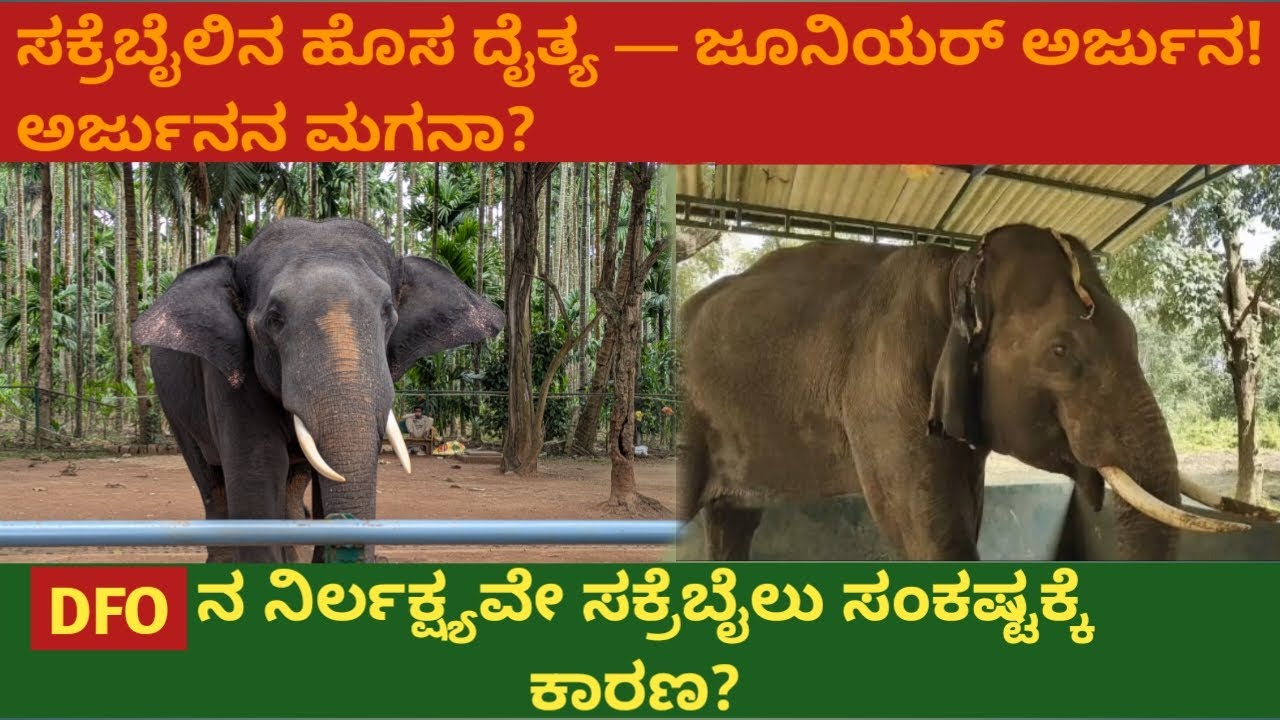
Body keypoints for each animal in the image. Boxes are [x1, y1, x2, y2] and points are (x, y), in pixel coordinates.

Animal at [132, 217, 504, 563]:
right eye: (274, 319)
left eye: (388, 312)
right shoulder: (231, 375)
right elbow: (257, 474)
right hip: (174, 409)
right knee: (211, 482)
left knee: (292, 483)